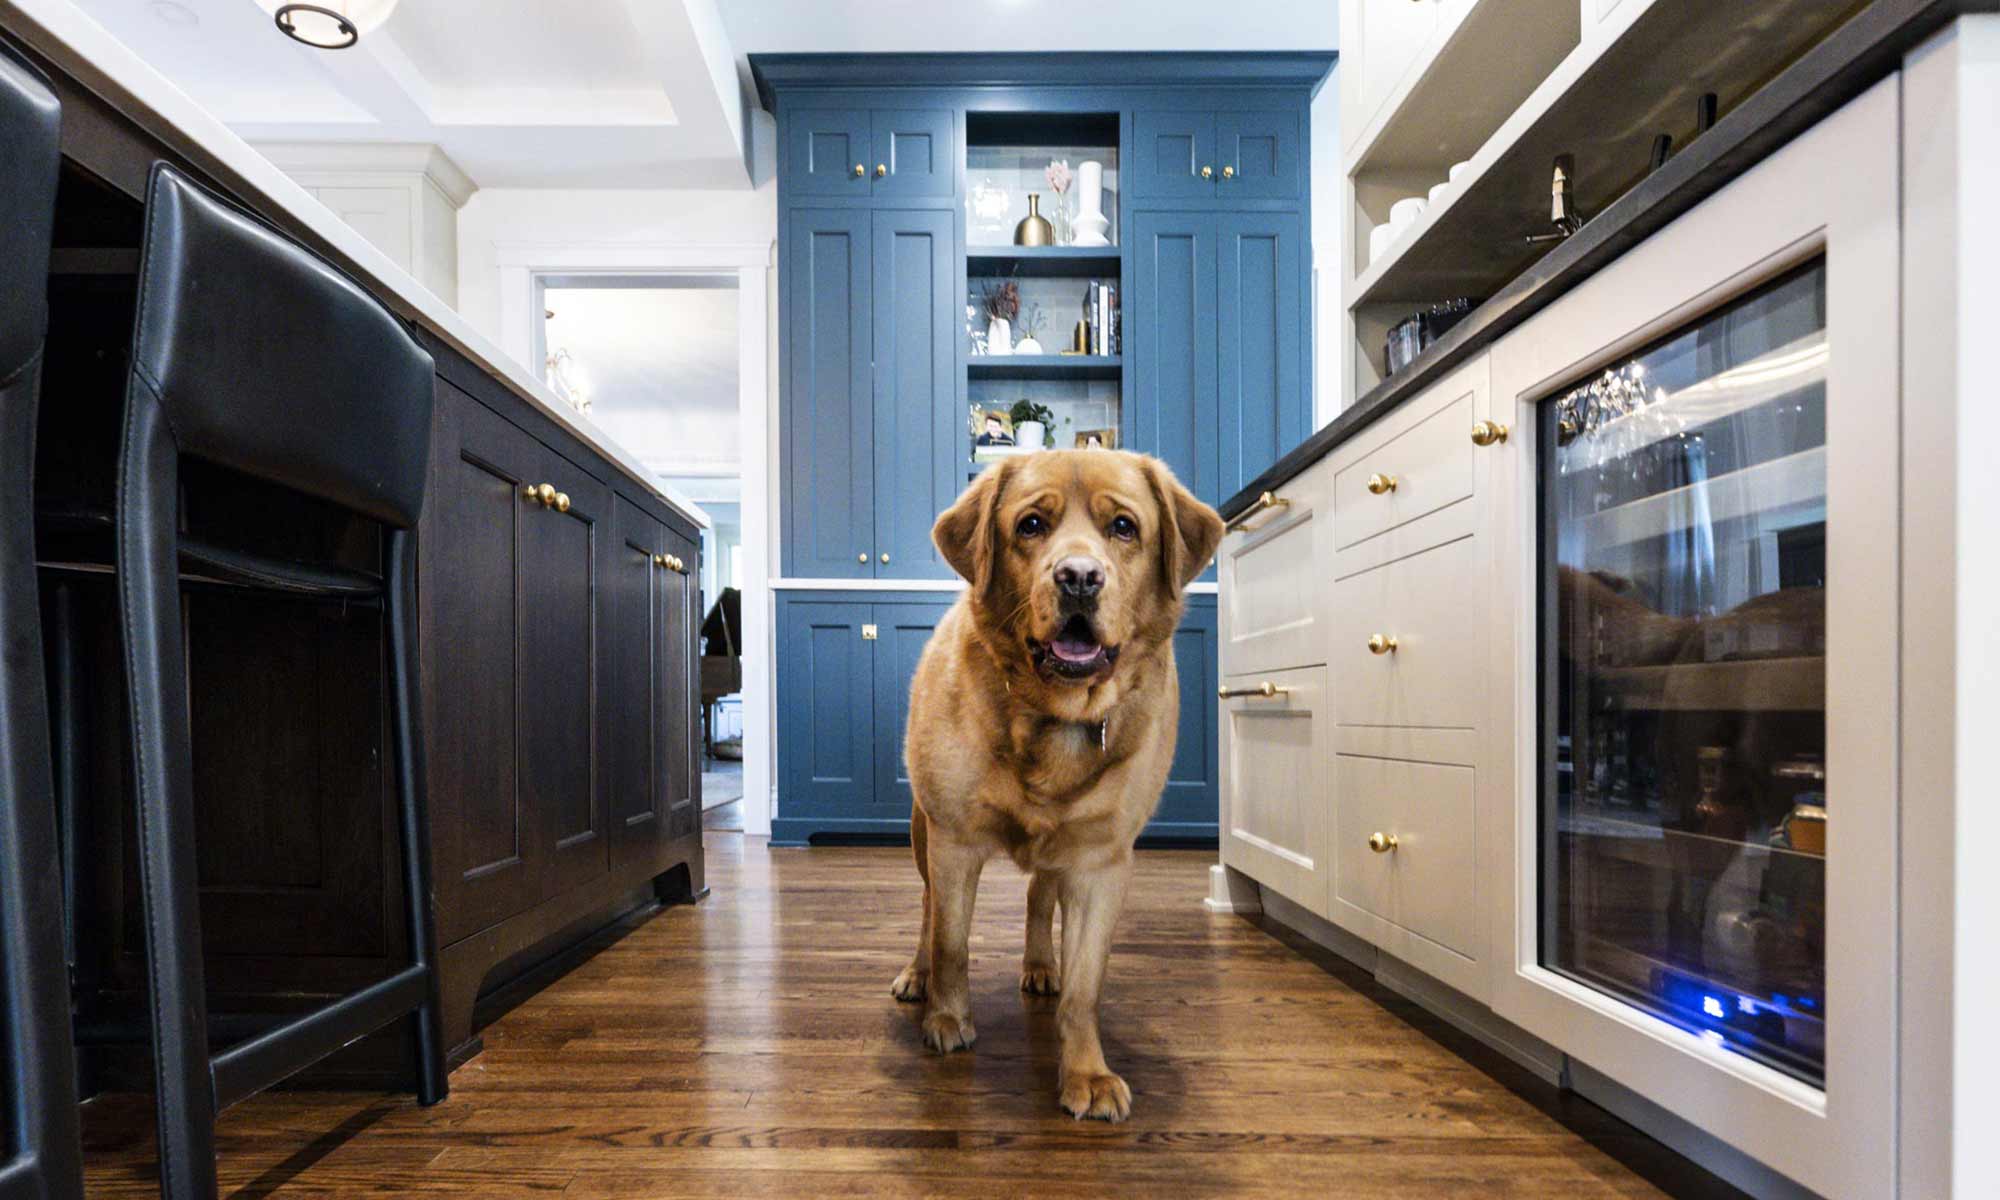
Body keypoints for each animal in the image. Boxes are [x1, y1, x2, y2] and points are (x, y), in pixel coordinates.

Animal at [888, 450, 1216, 1128]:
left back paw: (1042, 965)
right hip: (920, 829)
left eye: (1124, 527)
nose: (1079, 578)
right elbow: (952, 942)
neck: (1055, 715)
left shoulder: (1100, 863)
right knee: (929, 909)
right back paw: (918, 975)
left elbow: (1086, 986)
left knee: (1040, 895)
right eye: (1031, 525)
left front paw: (1087, 1073)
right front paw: (947, 1020)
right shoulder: (954, 841)